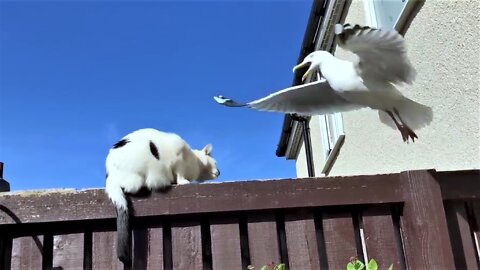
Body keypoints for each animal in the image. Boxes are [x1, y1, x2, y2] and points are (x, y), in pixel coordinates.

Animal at [105, 129, 219, 266]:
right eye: (216, 163)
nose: (219, 172)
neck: (195, 165)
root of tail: (110, 177)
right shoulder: (178, 160)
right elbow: (180, 174)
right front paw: (183, 182)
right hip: (138, 176)